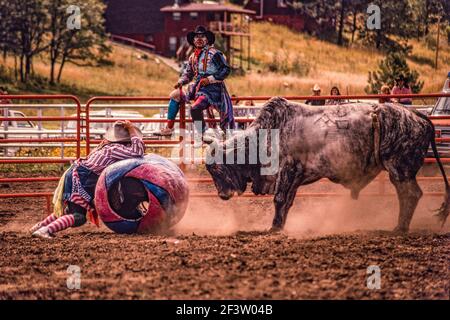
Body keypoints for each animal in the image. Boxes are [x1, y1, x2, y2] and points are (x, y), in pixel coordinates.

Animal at [207, 97, 450, 232]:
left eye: (215, 168)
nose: (221, 195)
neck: (267, 134)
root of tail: (417, 115)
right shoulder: (296, 176)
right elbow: (287, 202)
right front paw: (280, 225)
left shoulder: (286, 170)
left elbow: (279, 199)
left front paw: (273, 227)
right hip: (402, 172)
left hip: (400, 170)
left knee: (411, 195)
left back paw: (399, 227)